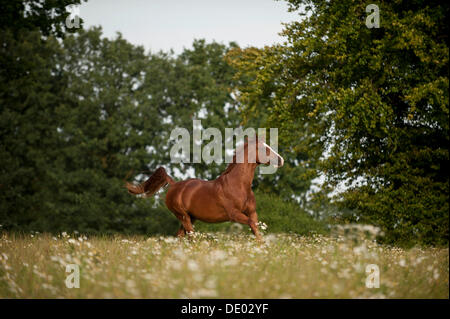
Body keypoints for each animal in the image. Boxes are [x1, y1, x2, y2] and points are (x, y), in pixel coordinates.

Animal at [125, 136, 284, 241]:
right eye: (264, 148)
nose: (281, 160)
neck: (238, 185)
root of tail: (174, 185)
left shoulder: (252, 212)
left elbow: (256, 228)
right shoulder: (234, 214)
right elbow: (252, 225)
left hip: (190, 217)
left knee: (180, 236)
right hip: (183, 216)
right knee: (190, 236)